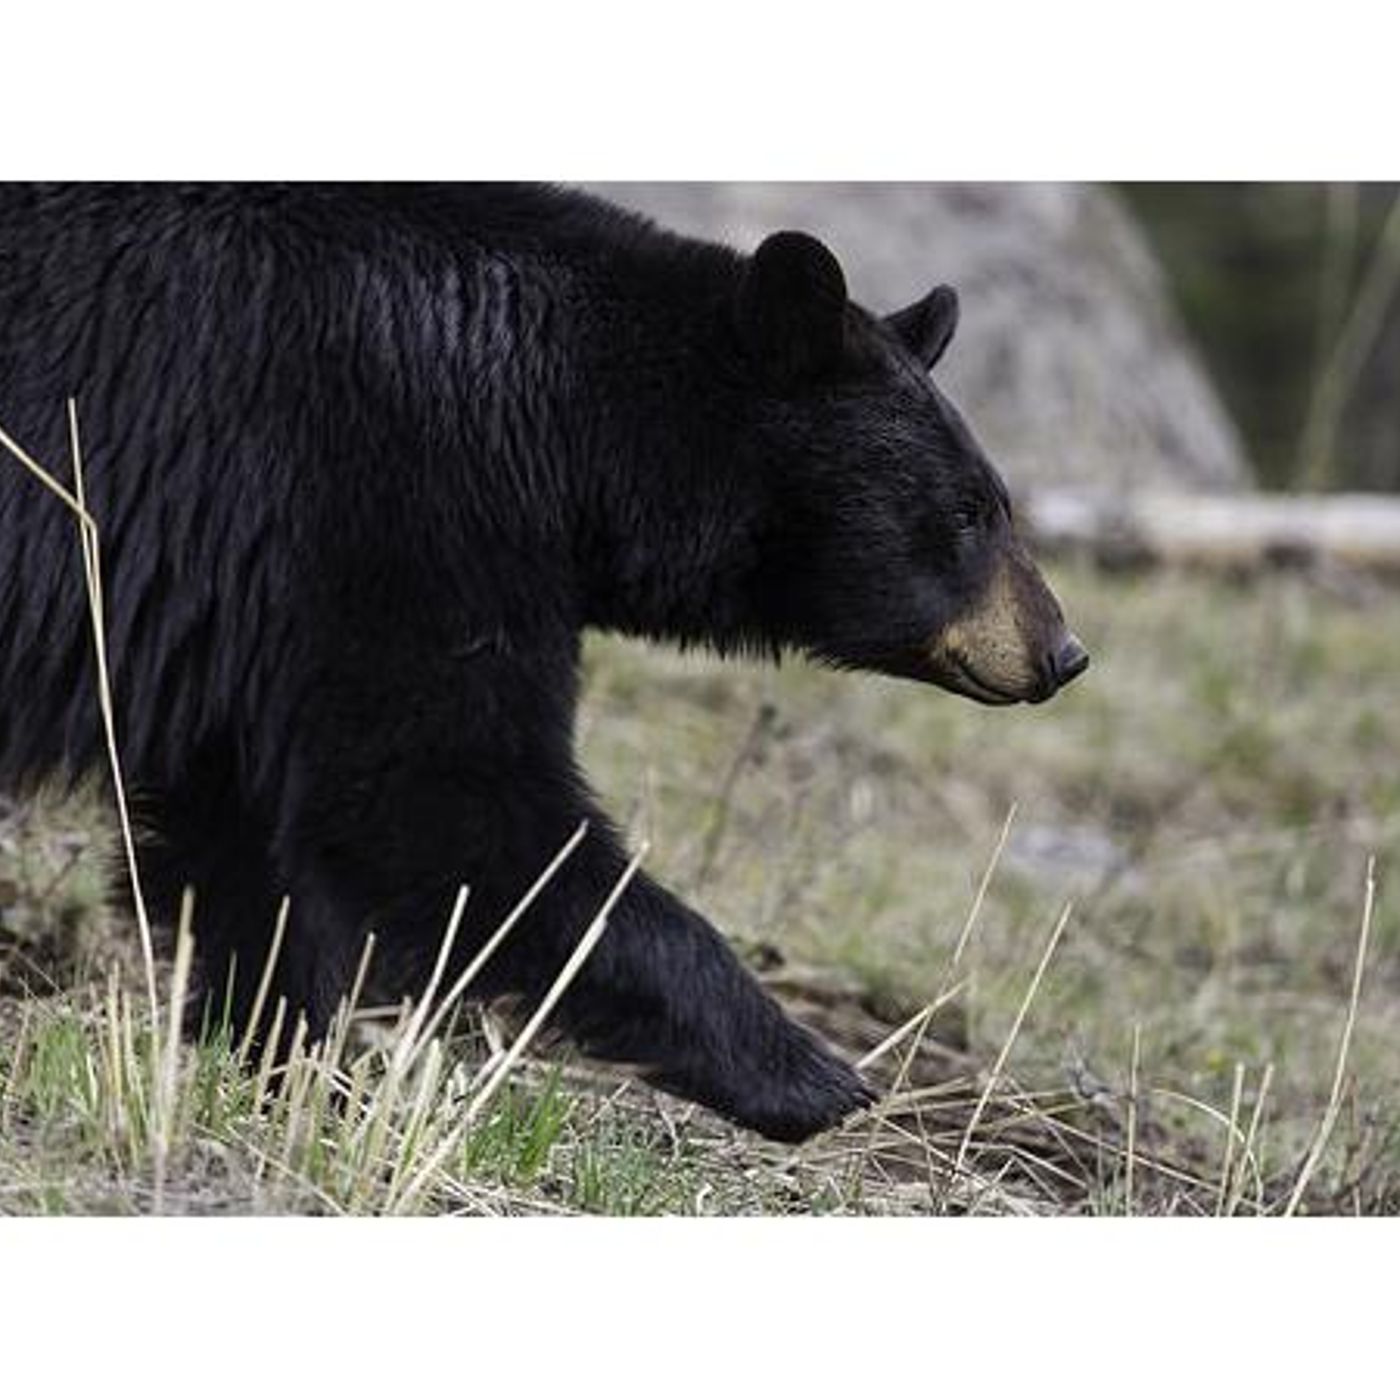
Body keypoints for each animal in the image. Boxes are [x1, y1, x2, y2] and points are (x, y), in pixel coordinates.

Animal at [0, 184, 1087, 1143]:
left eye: (994, 501)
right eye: (968, 511)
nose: (1062, 651)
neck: (565, 421)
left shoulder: (257, 607)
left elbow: (242, 839)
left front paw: (293, 1068)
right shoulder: (388, 500)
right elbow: (444, 799)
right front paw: (809, 1073)